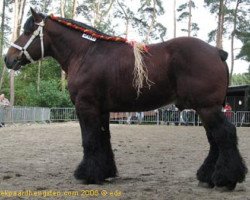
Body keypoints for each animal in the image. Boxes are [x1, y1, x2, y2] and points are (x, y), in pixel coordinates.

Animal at [4, 9, 247, 191]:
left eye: (27, 31)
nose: (8, 59)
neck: (86, 53)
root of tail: (217, 52)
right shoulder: (102, 110)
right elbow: (103, 139)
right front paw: (105, 173)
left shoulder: (86, 107)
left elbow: (90, 140)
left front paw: (87, 174)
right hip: (205, 108)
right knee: (215, 139)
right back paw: (208, 177)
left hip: (207, 108)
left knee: (224, 135)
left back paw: (226, 179)